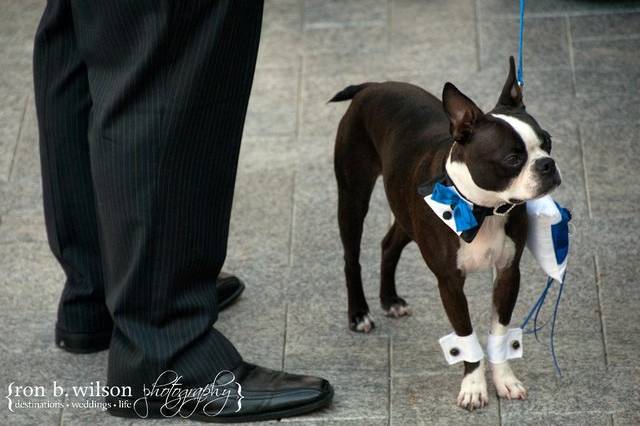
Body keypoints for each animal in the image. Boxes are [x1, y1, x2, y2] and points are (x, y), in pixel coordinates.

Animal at [330, 58, 560, 412]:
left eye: (547, 143)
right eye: (513, 159)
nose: (547, 164)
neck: (483, 208)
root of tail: (372, 86)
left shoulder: (508, 273)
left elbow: (499, 333)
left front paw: (504, 381)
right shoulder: (450, 282)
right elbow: (466, 337)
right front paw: (474, 388)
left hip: (406, 211)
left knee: (388, 244)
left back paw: (390, 300)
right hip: (353, 195)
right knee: (350, 258)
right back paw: (359, 314)